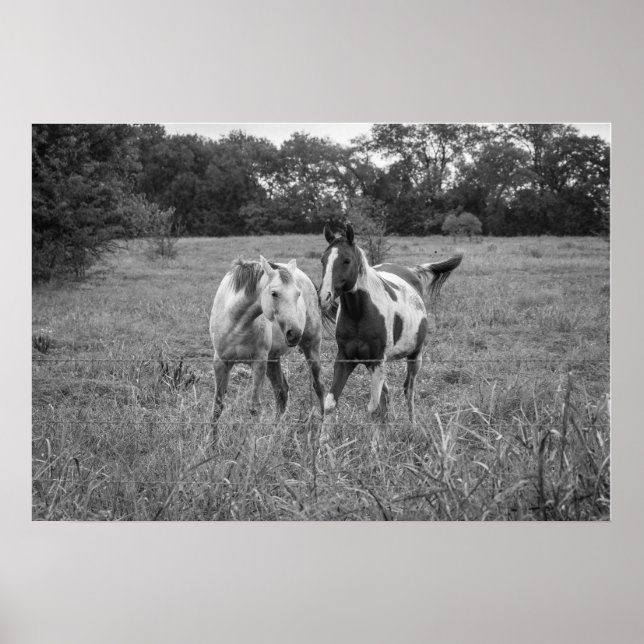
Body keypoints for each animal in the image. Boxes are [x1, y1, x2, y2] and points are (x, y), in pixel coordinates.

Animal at [209, 255, 324, 426]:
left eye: (298, 294)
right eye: (274, 293)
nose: (294, 334)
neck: (237, 323)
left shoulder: (259, 362)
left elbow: (254, 408)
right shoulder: (221, 362)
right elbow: (217, 407)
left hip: (311, 347)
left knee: (319, 386)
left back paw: (325, 425)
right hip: (273, 359)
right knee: (282, 391)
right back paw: (276, 429)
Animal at [318, 223, 462, 423]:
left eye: (346, 260)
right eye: (323, 261)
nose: (324, 297)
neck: (359, 315)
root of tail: (412, 272)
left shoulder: (377, 361)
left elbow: (372, 408)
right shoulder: (345, 358)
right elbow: (330, 404)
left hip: (415, 356)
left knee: (408, 390)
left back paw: (412, 424)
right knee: (387, 394)